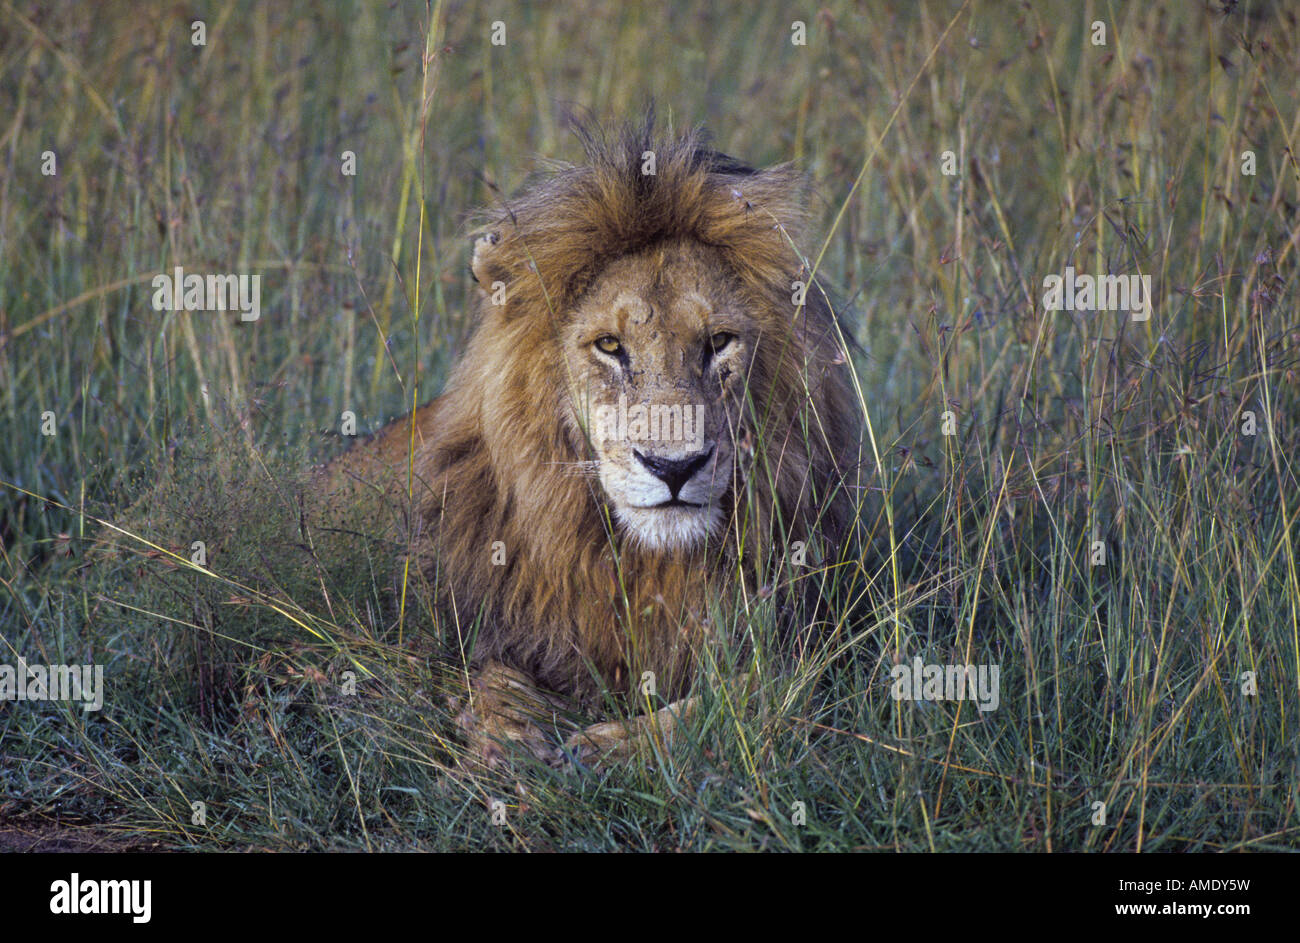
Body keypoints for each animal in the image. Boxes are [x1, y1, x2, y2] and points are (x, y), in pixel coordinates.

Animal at [317, 118, 861, 767]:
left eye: (719, 342)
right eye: (608, 346)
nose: (673, 467)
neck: (644, 561)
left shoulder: (815, 651)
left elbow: (738, 701)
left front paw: (606, 747)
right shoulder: (485, 628)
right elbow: (492, 681)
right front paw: (510, 742)